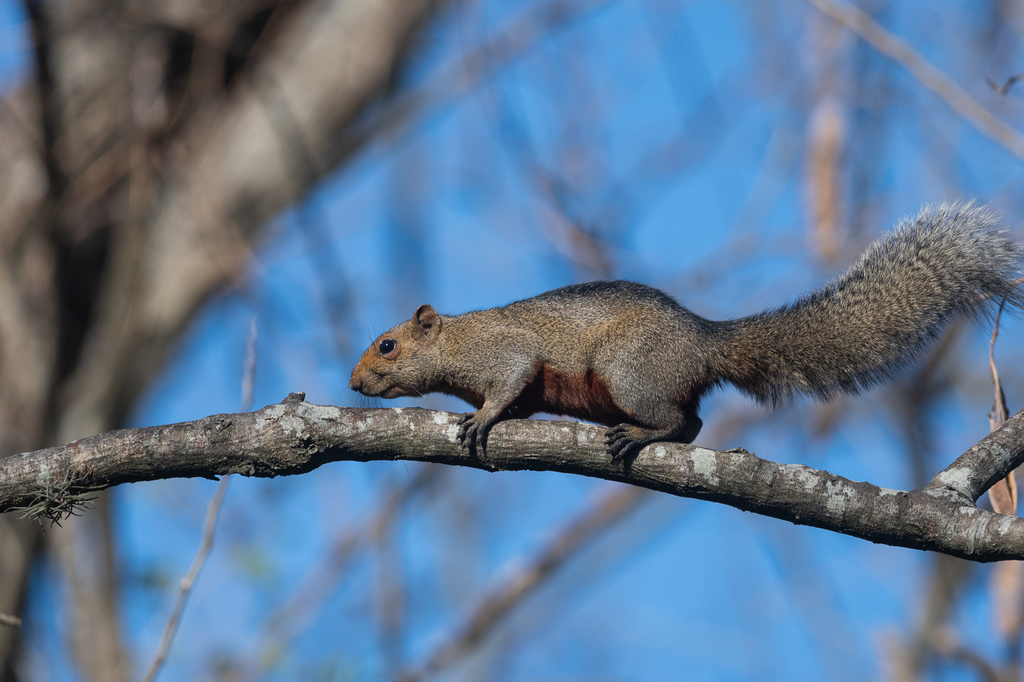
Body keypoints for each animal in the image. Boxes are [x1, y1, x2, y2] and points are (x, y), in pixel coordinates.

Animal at [350, 200, 1024, 456]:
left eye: (388, 345)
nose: (354, 384)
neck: (457, 341)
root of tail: (704, 341)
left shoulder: (503, 352)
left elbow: (511, 380)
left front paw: (484, 418)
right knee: (695, 420)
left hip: (628, 372)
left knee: (680, 419)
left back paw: (642, 435)